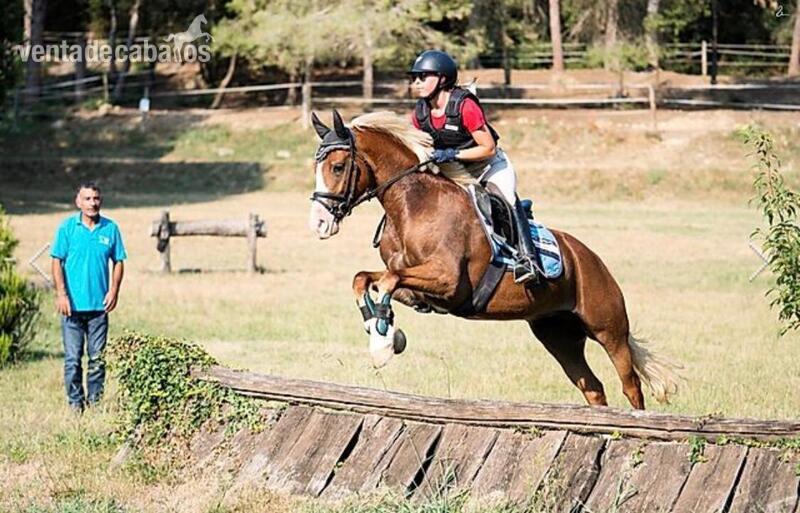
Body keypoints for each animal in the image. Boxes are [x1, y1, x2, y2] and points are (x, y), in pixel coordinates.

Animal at [308, 110, 680, 409]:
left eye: (337, 167)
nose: (319, 224)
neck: (412, 204)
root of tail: (592, 259)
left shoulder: (448, 281)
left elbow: (386, 280)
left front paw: (384, 341)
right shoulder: (416, 287)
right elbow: (365, 279)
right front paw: (380, 332)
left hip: (608, 328)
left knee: (630, 385)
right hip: (558, 335)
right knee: (593, 387)